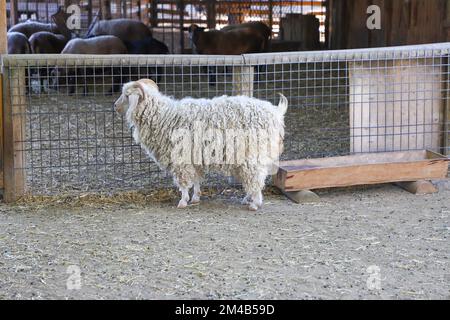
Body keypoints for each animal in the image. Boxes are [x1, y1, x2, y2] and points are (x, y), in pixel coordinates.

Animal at [114, 79, 286, 211]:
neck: (163, 116)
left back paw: (254, 204)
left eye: (126, 95)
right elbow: (196, 178)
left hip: (253, 154)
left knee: (255, 178)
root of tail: (276, 112)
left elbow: (184, 182)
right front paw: (195, 198)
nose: (114, 106)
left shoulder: (180, 158)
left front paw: (183, 201)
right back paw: (247, 199)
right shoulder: (193, 157)